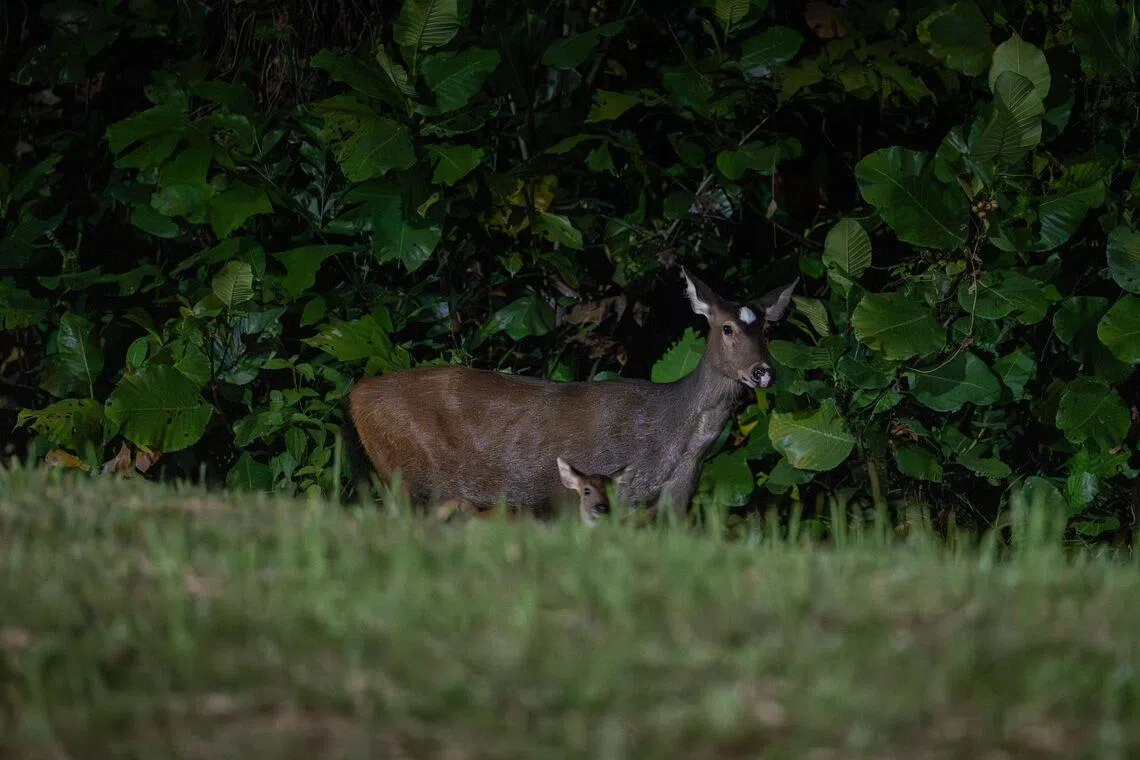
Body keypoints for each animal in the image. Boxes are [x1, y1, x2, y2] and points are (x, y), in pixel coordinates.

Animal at [347, 267, 797, 520]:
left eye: (768, 328)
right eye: (727, 328)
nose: (763, 372)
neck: (677, 445)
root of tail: (356, 395)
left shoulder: (676, 498)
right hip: (405, 473)